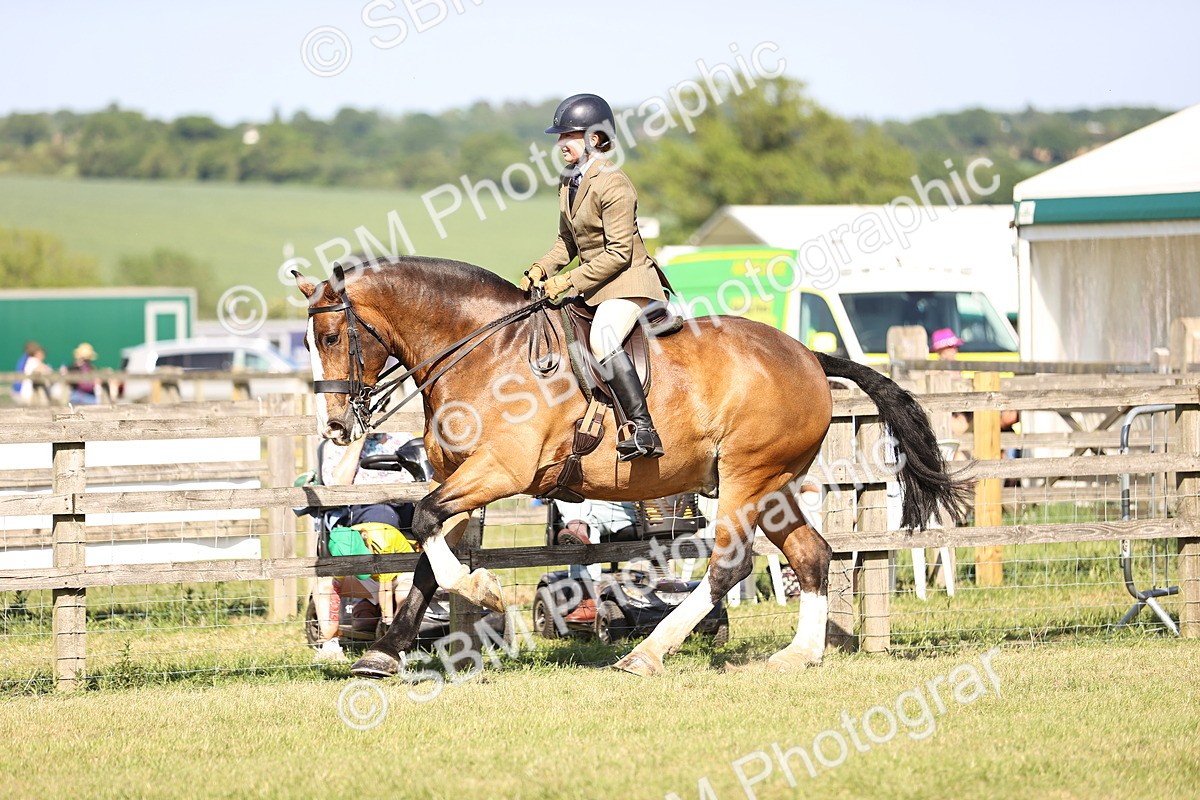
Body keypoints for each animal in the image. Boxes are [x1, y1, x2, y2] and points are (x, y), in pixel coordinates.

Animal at [293, 256, 968, 678]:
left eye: (329, 337)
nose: (336, 428)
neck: (483, 350)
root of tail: (806, 353)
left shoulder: (499, 472)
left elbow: (429, 527)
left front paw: (484, 592)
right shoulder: (463, 477)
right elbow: (427, 555)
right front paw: (384, 654)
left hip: (746, 478)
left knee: (730, 567)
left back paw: (646, 654)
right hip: (773, 486)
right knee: (811, 554)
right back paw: (799, 655)